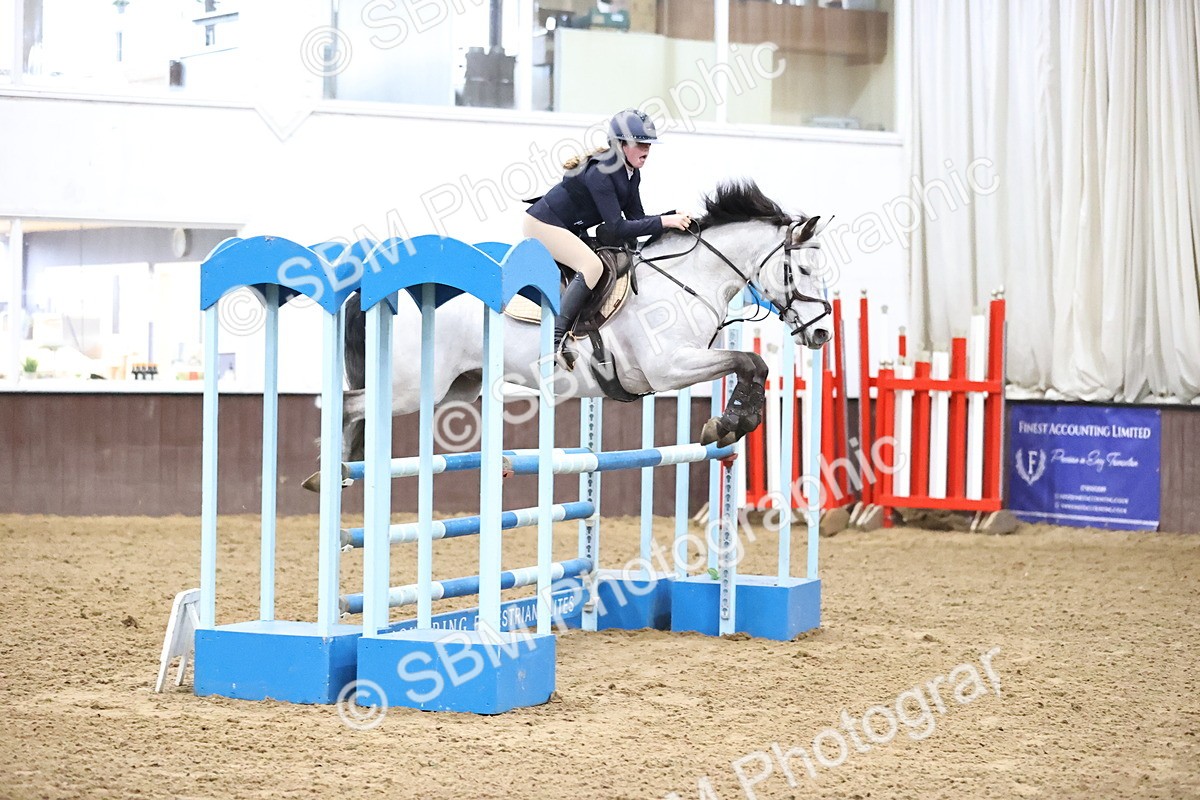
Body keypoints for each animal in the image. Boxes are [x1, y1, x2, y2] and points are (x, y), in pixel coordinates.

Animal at [340, 180, 832, 459]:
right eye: (803, 270)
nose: (823, 332)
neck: (686, 278)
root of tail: (378, 296)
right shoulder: (669, 368)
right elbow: (748, 361)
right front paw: (729, 423)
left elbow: (755, 365)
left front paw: (734, 423)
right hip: (410, 387)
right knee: (348, 404)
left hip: (453, 387)